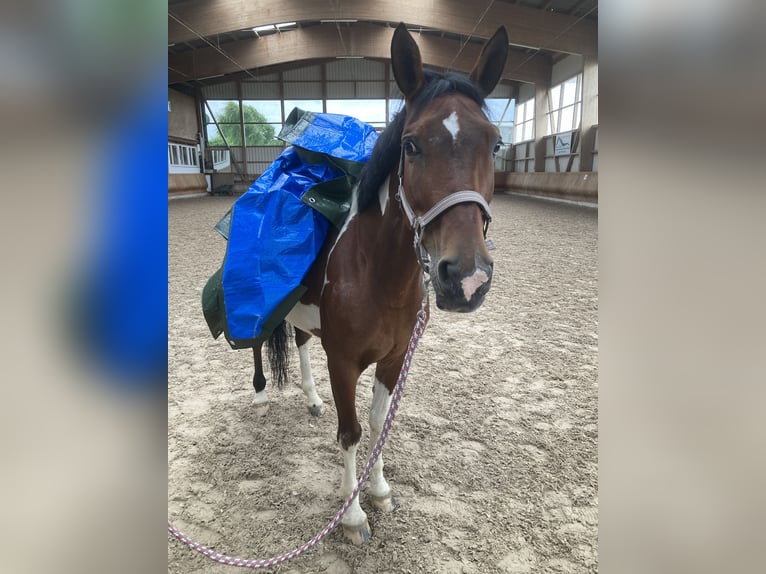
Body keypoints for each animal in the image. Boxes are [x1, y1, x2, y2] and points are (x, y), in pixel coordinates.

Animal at [250, 22, 510, 544]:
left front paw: (379, 489)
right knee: (265, 341)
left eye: (494, 144)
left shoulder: (394, 358)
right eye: (410, 144)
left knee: (301, 340)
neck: (377, 274)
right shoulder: (344, 361)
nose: (467, 277)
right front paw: (351, 516)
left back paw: (311, 400)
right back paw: (275, 396)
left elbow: (376, 422)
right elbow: (349, 431)